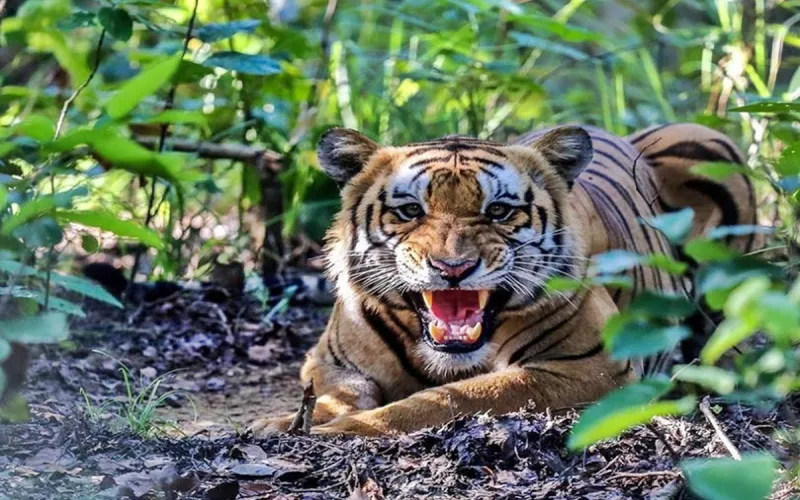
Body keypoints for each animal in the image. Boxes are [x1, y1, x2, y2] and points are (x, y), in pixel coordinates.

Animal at [249, 123, 759, 436]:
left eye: (498, 211)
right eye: (411, 210)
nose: (453, 268)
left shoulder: (586, 367)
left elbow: (448, 399)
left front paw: (343, 430)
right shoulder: (328, 361)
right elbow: (337, 393)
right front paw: (283, 423)